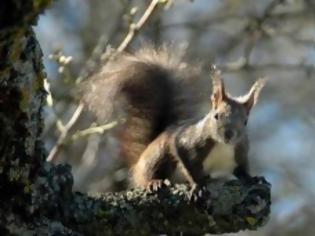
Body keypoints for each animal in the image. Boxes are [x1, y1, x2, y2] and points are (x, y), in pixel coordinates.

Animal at [82, 46, 266, 195]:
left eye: (245, 122)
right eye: (216, 116)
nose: (229, 134)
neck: (222, 145)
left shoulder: (240, 151)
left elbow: (242, 170)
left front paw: (252, 179)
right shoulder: (186, 143)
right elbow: (187, 163)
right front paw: (198, 186)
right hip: (157, 157)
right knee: (149, 174)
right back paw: (153, 182)